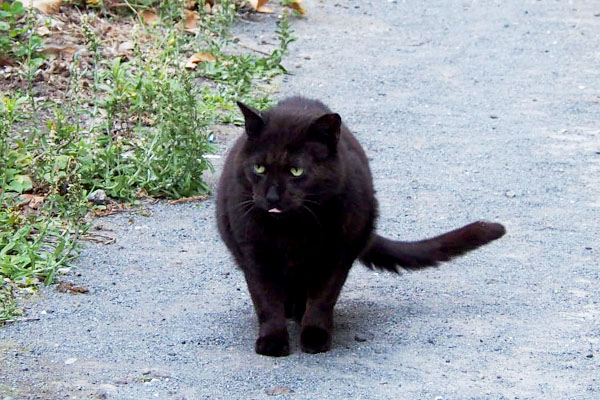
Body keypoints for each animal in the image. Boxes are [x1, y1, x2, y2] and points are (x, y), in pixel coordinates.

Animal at [217, 97, 506, 356]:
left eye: (296, 171)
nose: (272, 197)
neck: (292, 229)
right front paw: (273, 341)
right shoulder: (254, 254)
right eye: (259, 168)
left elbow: (323, 299)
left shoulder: (337, 253)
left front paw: (315, 336)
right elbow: (266, 300)